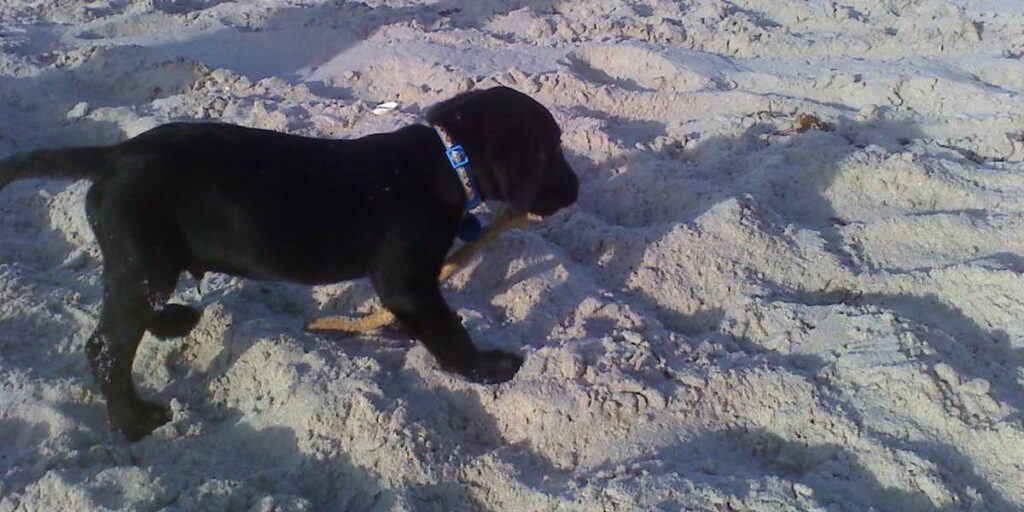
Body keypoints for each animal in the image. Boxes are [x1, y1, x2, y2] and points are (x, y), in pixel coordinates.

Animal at [0, 87, 577, 440]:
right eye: (553, 150)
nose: (575, 190)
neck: (446, 159)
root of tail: (113, 155)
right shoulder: (406, 281)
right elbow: (448, 330)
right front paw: (486, 368)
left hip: (143, 264)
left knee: (135, 315)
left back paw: (174, 322)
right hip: (142, 260)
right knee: (106, 348)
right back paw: (134, 421)